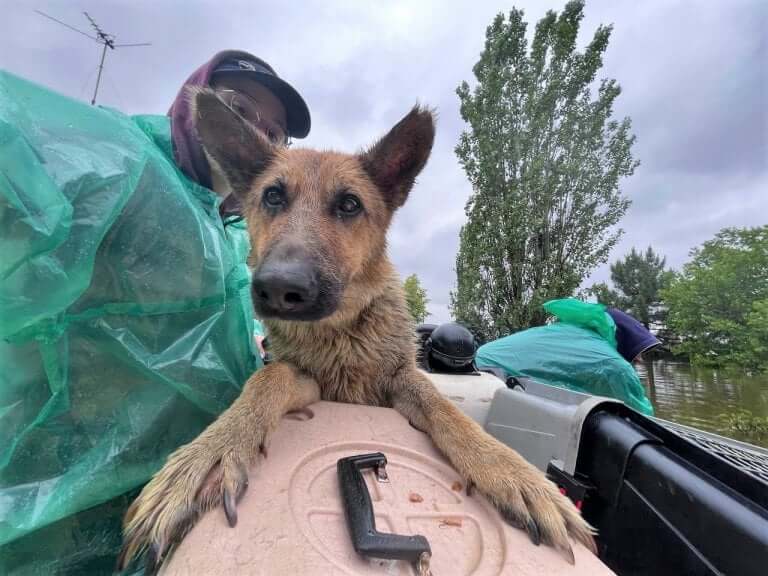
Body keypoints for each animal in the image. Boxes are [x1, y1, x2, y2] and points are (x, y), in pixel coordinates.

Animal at [117, 89, 596, 572]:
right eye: (272, 196)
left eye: (349, 205)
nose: (280, 288)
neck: (341, 333)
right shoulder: (306, 380)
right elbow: (268, 378)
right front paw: (210, 452)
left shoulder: (401, 380)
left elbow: (446, 410)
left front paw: (511, 472)